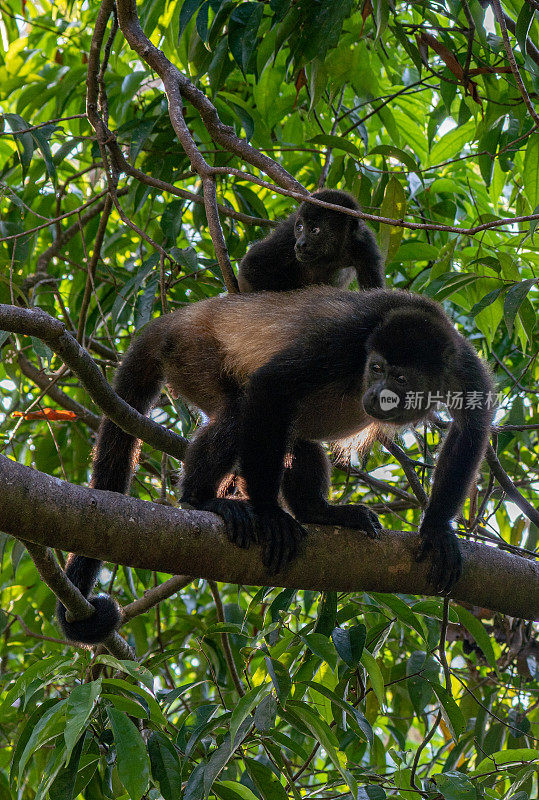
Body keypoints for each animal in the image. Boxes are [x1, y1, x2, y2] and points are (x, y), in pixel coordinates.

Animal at [57, 288, 496, 644]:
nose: (375, 394)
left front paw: (436, 527)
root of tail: (180, 316)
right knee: (240, 409)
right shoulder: (346, 340)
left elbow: (471, 428)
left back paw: (319, 512)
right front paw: (268, 513)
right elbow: (272, 384)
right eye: (375, 367)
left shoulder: (464, 365)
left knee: (299, 437)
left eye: (400, 378)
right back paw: (202, 499)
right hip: (192, 351)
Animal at [237, 189, 384, 292]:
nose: (300, 244)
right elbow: (251, 264)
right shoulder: (287, 235)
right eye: (300, 228)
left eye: (314, 230)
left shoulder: (364, 246)